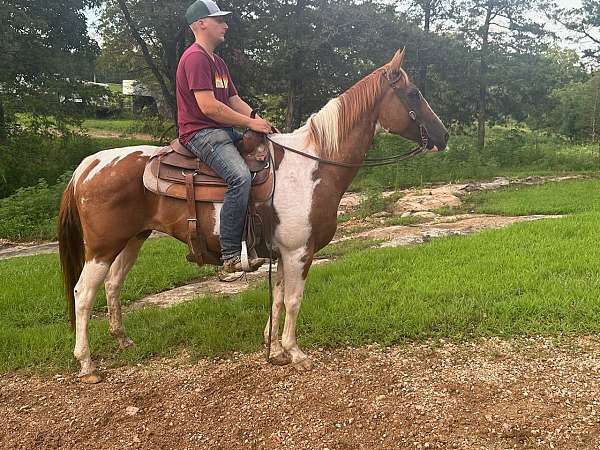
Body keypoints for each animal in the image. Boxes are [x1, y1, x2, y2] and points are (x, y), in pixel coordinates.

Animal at [58, 50, 448, 384]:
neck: (314, 166)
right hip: (102, 247)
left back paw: (124, 341)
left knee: (113, 285)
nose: (443, 135)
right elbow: (293, 300)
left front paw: (274, 349)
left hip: (132, 240)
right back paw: (87, 364)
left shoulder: (282, 252)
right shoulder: (299, 252)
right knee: (83, 293)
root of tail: (87, 166)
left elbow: (277, 298)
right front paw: (295, 353)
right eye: (413, 93)